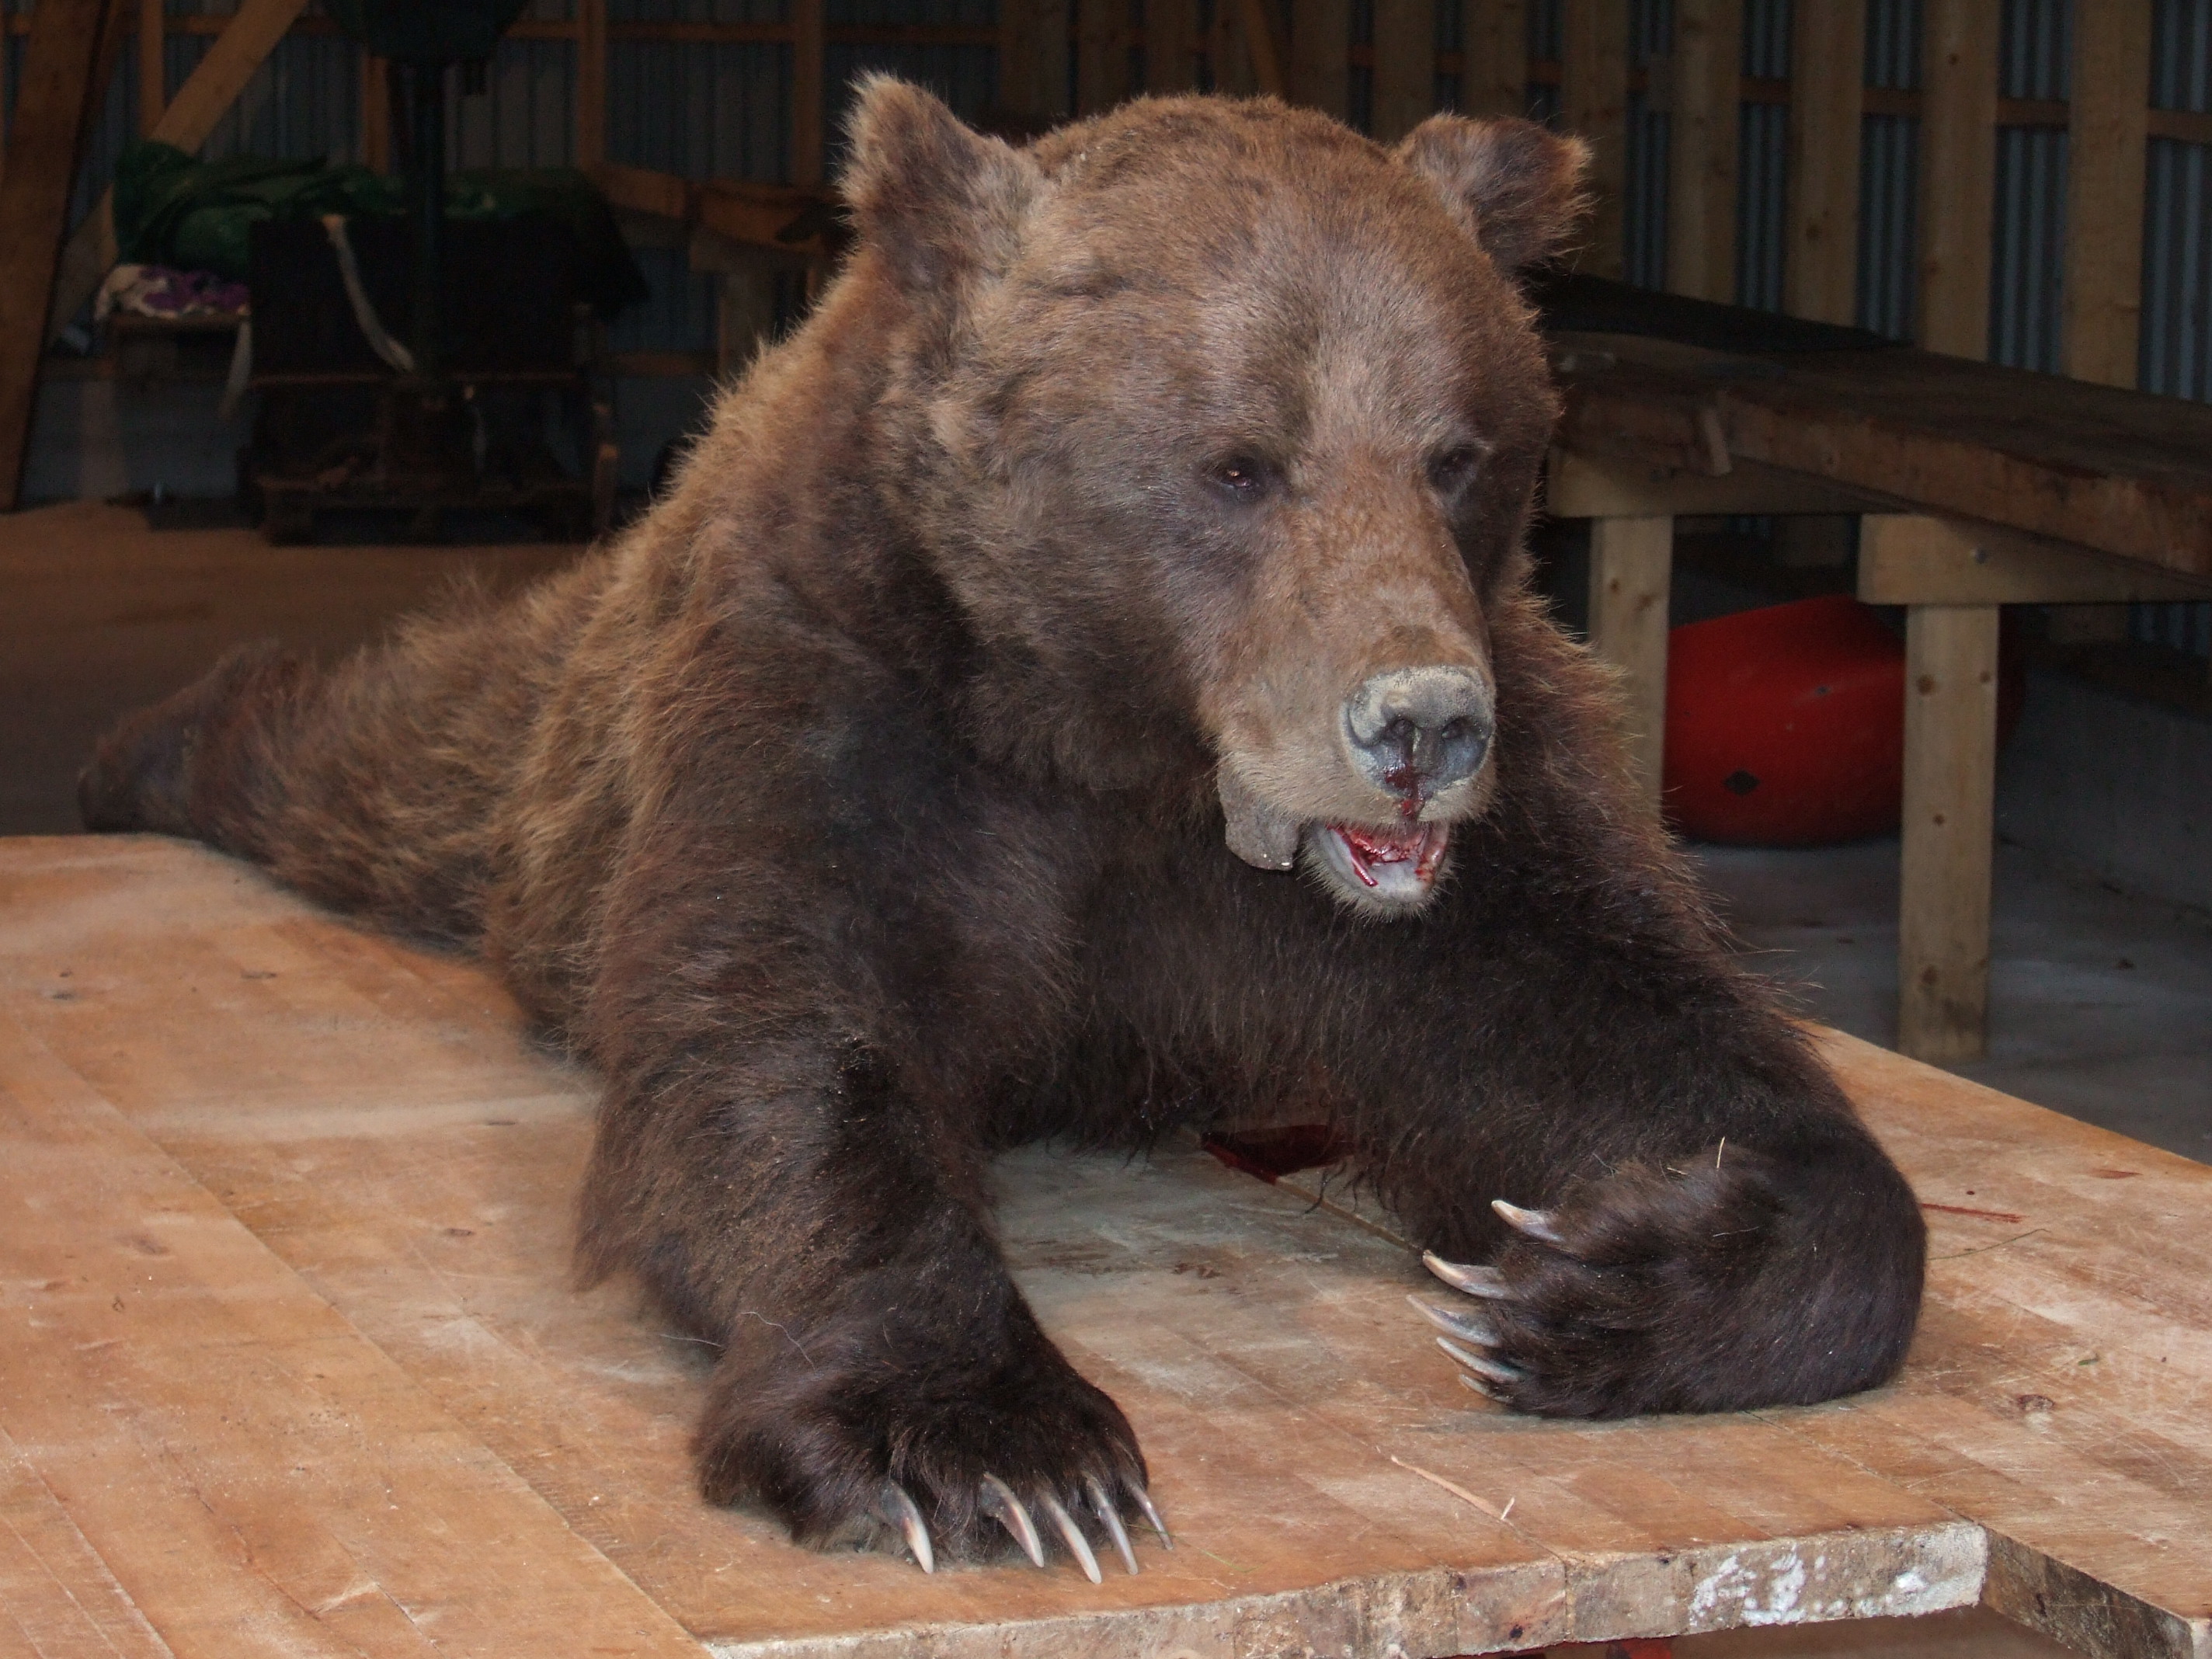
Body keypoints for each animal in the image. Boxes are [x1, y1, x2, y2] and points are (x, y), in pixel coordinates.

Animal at [79, 79, 1926, 1578]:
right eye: (1236, 463)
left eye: (1460, 451)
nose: (1415, 728)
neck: (1128, 746)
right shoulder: (846, 716)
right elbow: (780, 1045)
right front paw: (987, 1446)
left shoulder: (1476, 838)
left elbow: (1635, 1025)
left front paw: (1592, 1281)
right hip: (540, 782)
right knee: (371, 756)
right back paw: (147, 748)